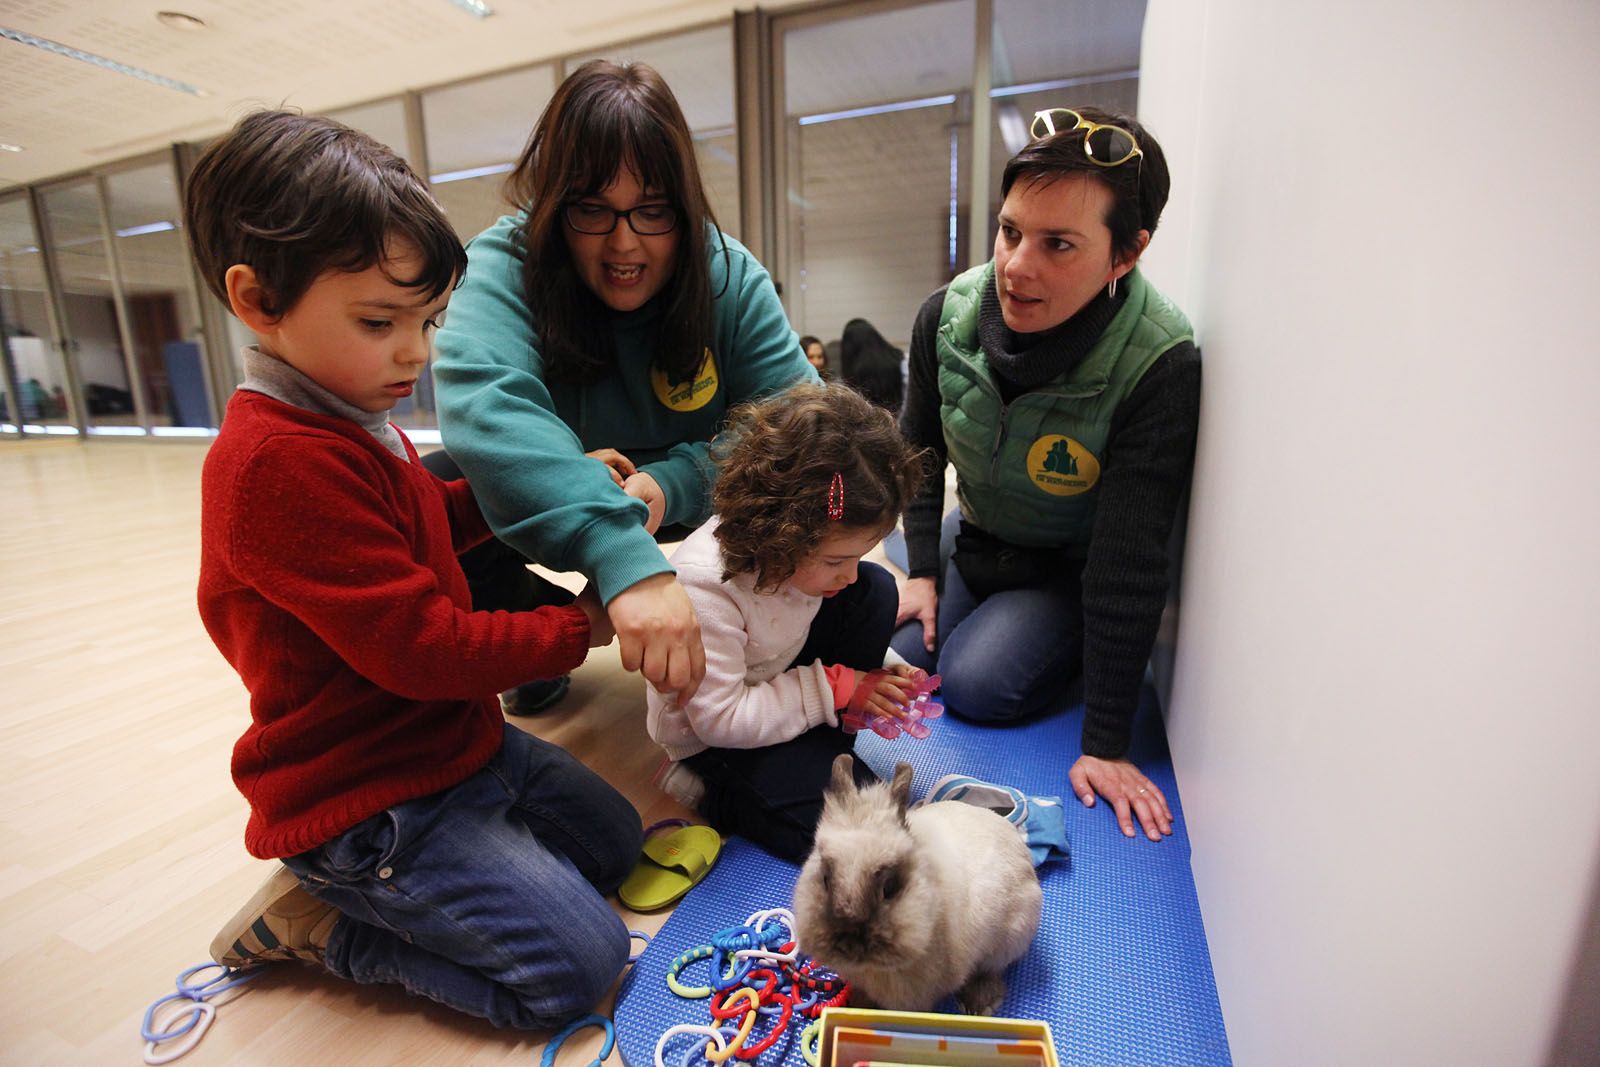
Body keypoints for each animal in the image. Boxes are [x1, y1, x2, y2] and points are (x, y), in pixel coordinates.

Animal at [790, 755, 1043, 1017]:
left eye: (890, 887)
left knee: (991, 969)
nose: (849, 945)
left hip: (1011, 937)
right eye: (825, 879)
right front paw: (856, 1004)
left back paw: (977, 1005)